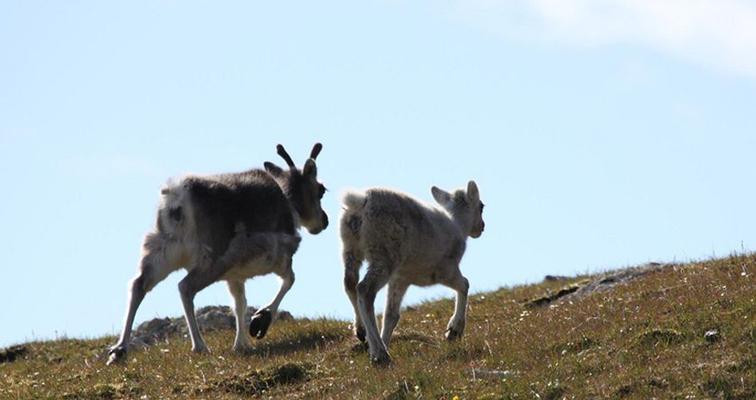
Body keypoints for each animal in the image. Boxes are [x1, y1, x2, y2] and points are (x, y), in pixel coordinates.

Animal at [107, 143, 328, 366]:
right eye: (321, 190)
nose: (324, 221)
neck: (290, 203)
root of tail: (177, 199)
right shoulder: (280, 257)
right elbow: (289, 281)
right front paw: (260, 321)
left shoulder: (235, 276)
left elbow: (240, 304)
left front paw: (241, 344)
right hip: (213, 259)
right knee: (185, 287)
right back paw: (199, 346)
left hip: (161, 249)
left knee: (138, 285)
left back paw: (119, 350)